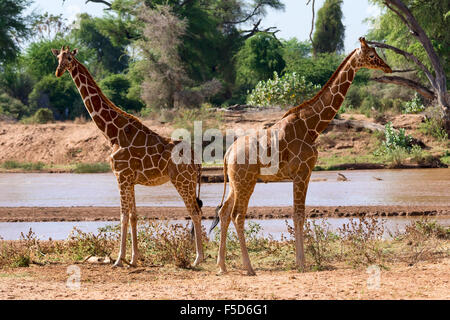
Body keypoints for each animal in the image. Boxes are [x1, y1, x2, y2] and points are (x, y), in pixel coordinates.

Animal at [51, 46, 204, 268]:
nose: (58, 71)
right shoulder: (130, 180)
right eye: (58, 58)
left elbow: (122, 216)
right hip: (189, 181)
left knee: (194, 212)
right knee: (197, 211)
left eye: (69, 58)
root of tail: (197, 160)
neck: (112, 133)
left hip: (182, 180)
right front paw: (134, 258)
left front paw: (118, 260)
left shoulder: (121, 176)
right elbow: (133, 216)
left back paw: (197, 259)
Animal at [210, 37, 390, 276]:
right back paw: (249, 267)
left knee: (223, 212)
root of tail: (228, 153)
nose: (387, 67)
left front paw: (300, 260)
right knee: (237, 215)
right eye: (371, 55)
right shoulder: (303, 172)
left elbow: (298, 214)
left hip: (235, 181)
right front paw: (302, 263)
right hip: (246, 181)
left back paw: (222, 266)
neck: (313, 127)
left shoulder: (302, 174)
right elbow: (299, 214)